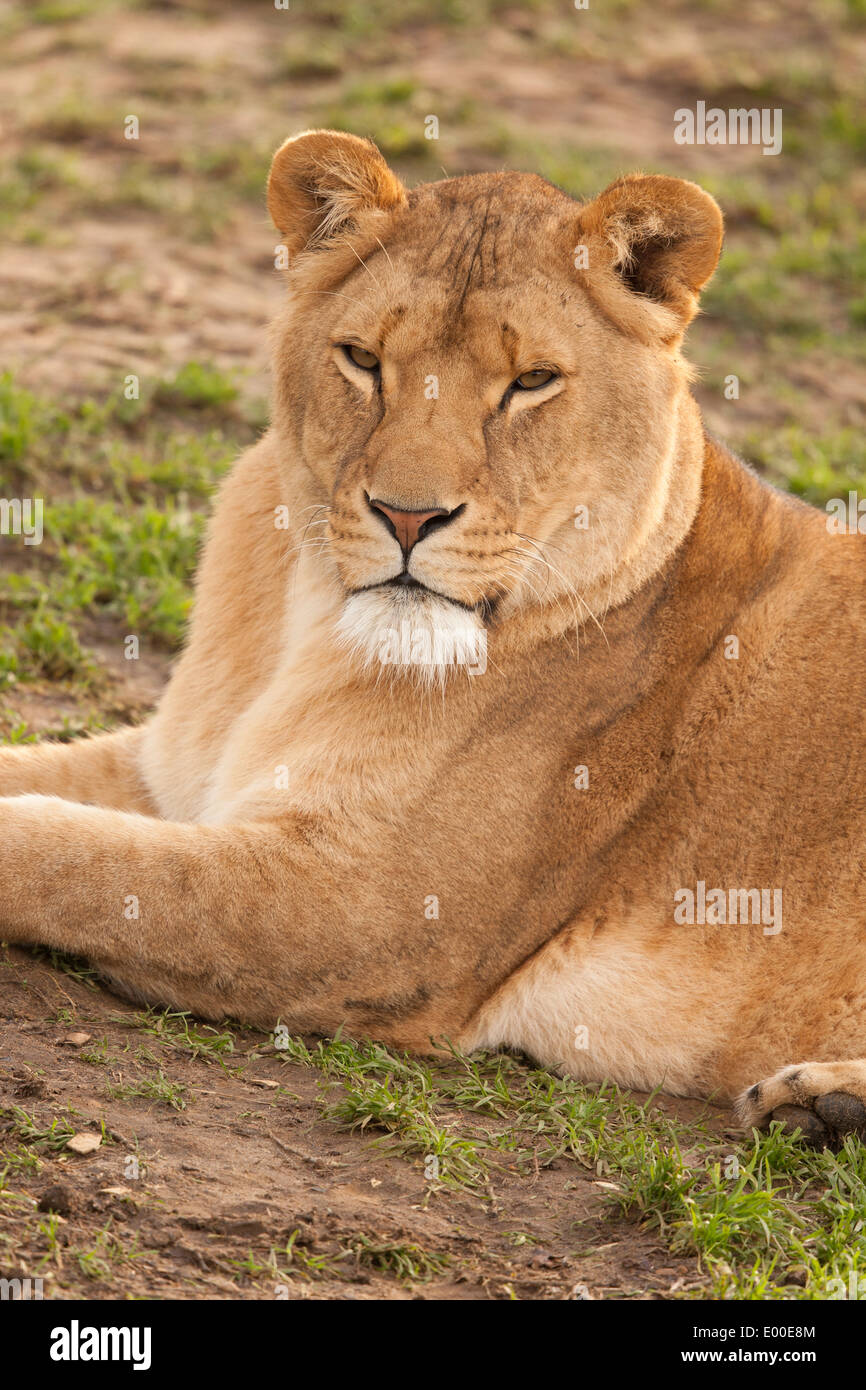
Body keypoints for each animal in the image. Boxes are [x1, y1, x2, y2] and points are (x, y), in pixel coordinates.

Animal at [3, 129, 866, 1146]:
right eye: (362, 359)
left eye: (531, 382)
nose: (408, 516)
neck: (305, 625)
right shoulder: (170, 776)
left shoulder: (373, 909)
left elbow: (71, 855)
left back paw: (824, 1105)